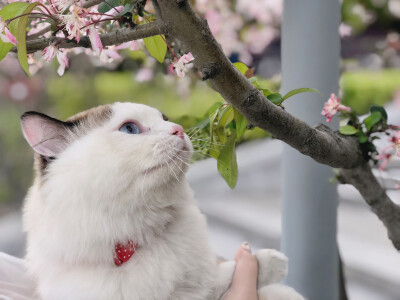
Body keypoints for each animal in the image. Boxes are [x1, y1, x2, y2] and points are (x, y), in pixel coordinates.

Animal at [19, 102, 304, 298]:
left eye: (165, 119)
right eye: (130, 128)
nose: (178, 130)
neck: (139, 234)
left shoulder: (197, 287)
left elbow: (225, 276)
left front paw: (270, 262)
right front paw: (272, 263)